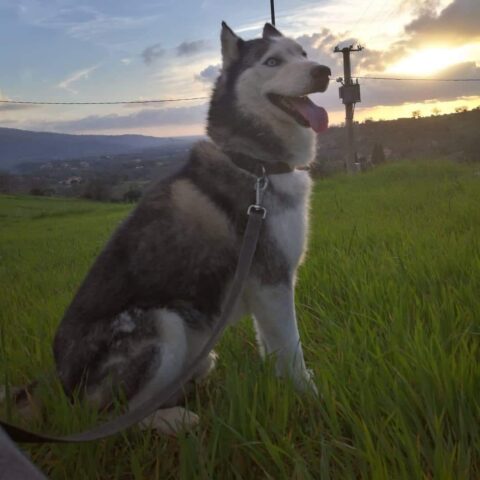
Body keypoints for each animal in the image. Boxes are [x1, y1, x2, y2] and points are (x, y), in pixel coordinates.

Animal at [18, 21, 332, 436]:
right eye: (272, 61)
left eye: (303, 53)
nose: (323, 71)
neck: (256, 166)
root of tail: (60, 383)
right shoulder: (272, 279)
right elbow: (293, 351)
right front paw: (312, 396)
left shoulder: (267, 289)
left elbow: (274, 348)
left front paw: (279, 388)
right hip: (161, 323)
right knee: (119, 417)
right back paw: (174, 419)